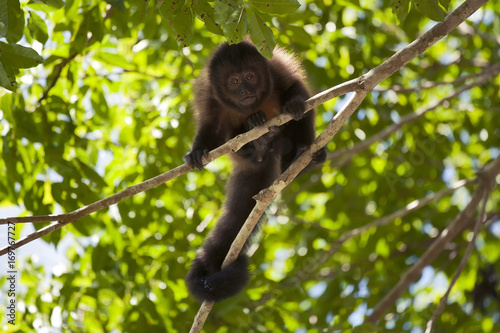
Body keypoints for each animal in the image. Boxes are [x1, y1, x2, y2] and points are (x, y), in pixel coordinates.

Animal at [184, 39, 324, 300]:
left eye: (249, 76)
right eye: (234, 81)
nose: (243, 90)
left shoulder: (275, 68)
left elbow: (295, 84)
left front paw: (293, 102)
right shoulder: (210, 95)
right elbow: (211, 127)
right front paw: (197, 151)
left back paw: (301, 157)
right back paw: (256, 147)